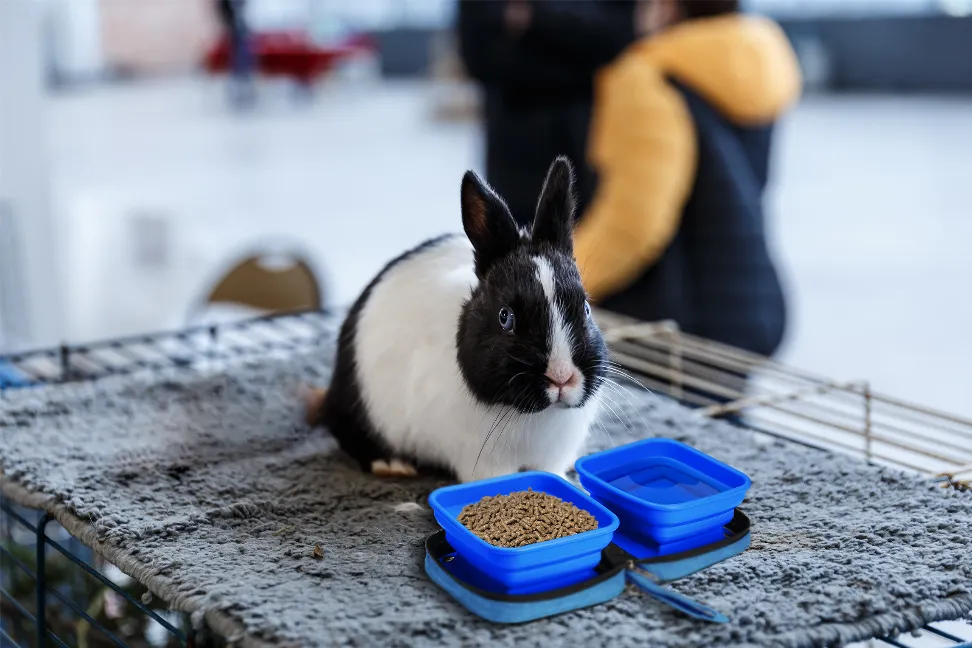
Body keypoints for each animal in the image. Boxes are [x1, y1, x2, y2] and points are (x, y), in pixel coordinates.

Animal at [312, 157, 604, 480]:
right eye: (505, 317)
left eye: (586, 307)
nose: (562, 377)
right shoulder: (486, 463)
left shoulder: (551, 458)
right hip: (359, 404)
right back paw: (392, 465)